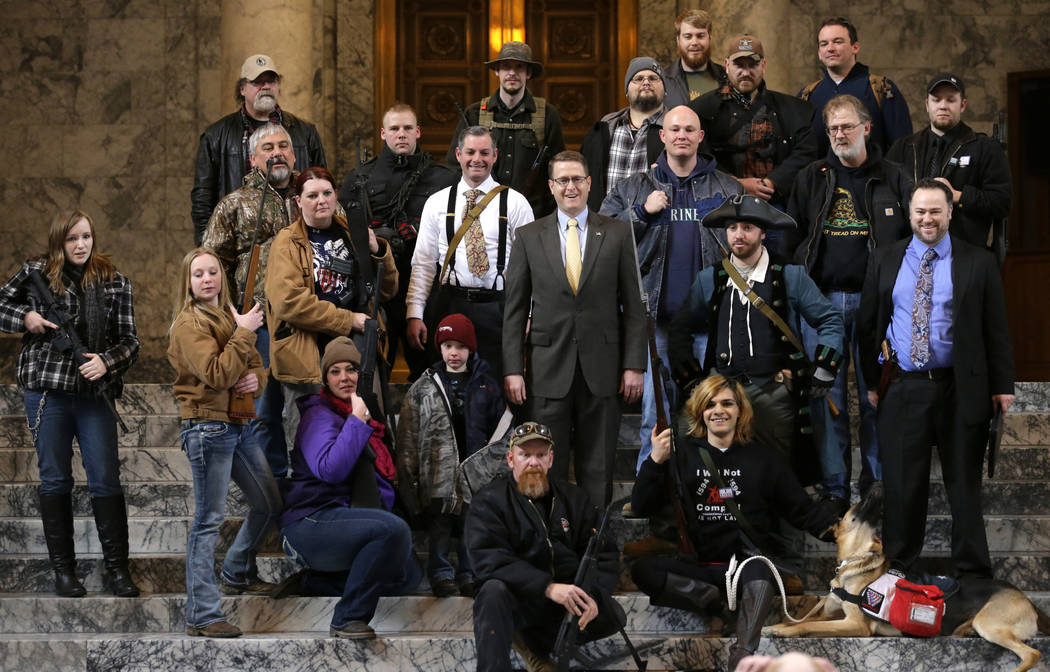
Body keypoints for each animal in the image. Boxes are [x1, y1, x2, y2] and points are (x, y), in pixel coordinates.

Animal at [764, 485, 1050, 667]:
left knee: (1033, 654)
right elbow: (799, 620)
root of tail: (1025, 598)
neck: (856, 559)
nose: (878, 480)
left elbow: (806, 625)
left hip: (989, 624)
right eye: (859, 503)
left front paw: (782, 630)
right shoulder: (829, 614)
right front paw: (775, 626)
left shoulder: (855, 624)